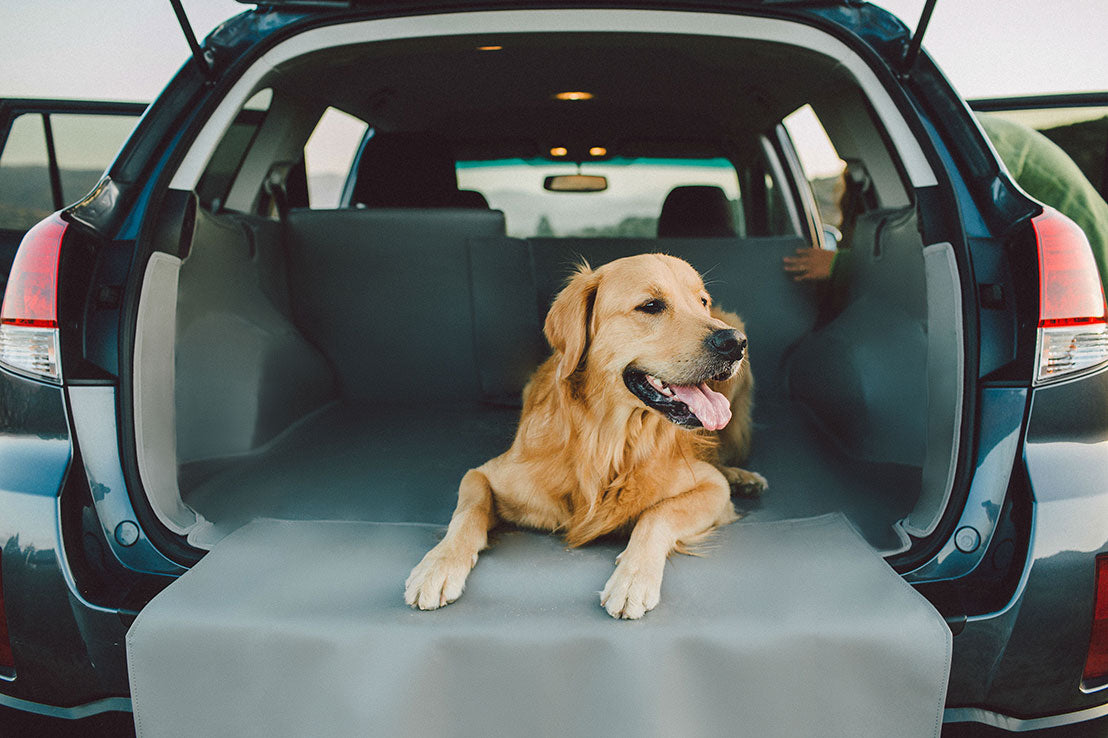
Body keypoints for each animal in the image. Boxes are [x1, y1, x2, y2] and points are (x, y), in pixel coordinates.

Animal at [403, 251, 766, 616]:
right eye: (651, 306)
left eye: (702, 302)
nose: (735, 343)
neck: (608, 441)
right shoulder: (484, 474)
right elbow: (468, 512)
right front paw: (437, 566)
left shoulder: (711, 487)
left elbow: (657, 514)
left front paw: (633, 578)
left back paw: (742, 476)